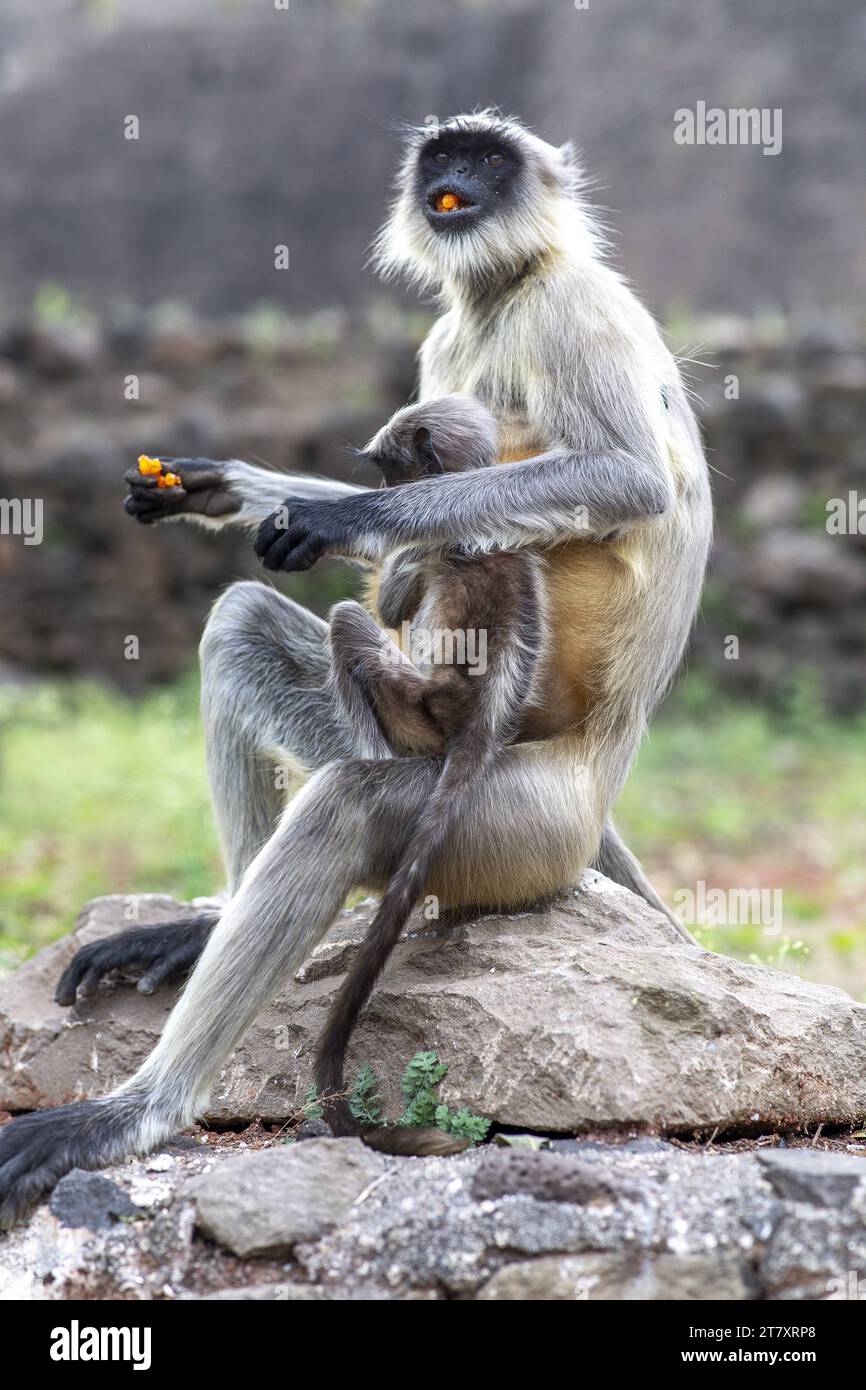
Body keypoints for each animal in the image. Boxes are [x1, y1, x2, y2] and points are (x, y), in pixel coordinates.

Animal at [318, 394, 547, 1150]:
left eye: (393, 471)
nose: (389, 498)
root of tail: (477, 717)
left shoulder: (429, 545)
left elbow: (391, 602)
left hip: (413, 705)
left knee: (350, 621)